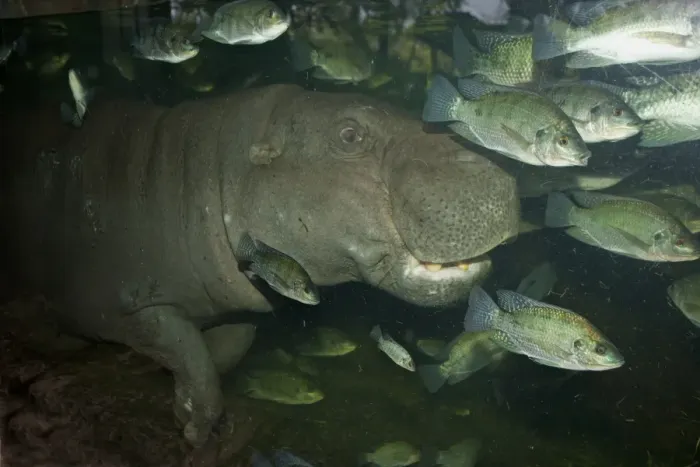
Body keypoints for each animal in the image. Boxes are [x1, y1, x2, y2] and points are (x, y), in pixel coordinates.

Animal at [0, 84, 519, 446]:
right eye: (349, 134)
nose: (491, 170)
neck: (210, 171)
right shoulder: (128, 304)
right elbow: (186, 348)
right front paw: (195, 428)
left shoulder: (236, 307)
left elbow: (223, 354)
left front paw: (188, 413)